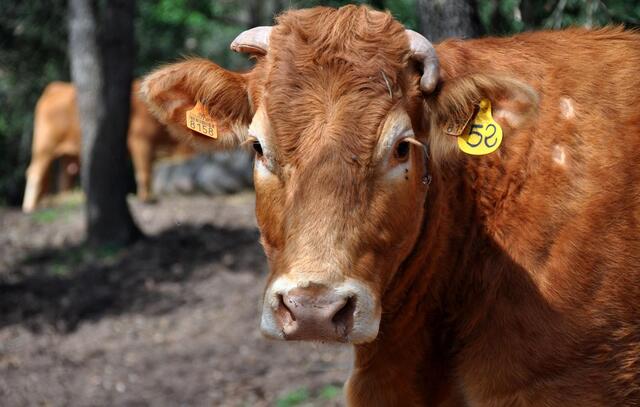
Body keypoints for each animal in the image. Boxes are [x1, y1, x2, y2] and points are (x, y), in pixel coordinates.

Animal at [22, 81, 192, 212]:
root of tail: (54, 87)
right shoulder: (140, 141)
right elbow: (144, 172)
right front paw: (146, 198)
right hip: (44, 146)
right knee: (35, 173)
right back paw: (29, 207)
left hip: (67, 156)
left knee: (61, 179)